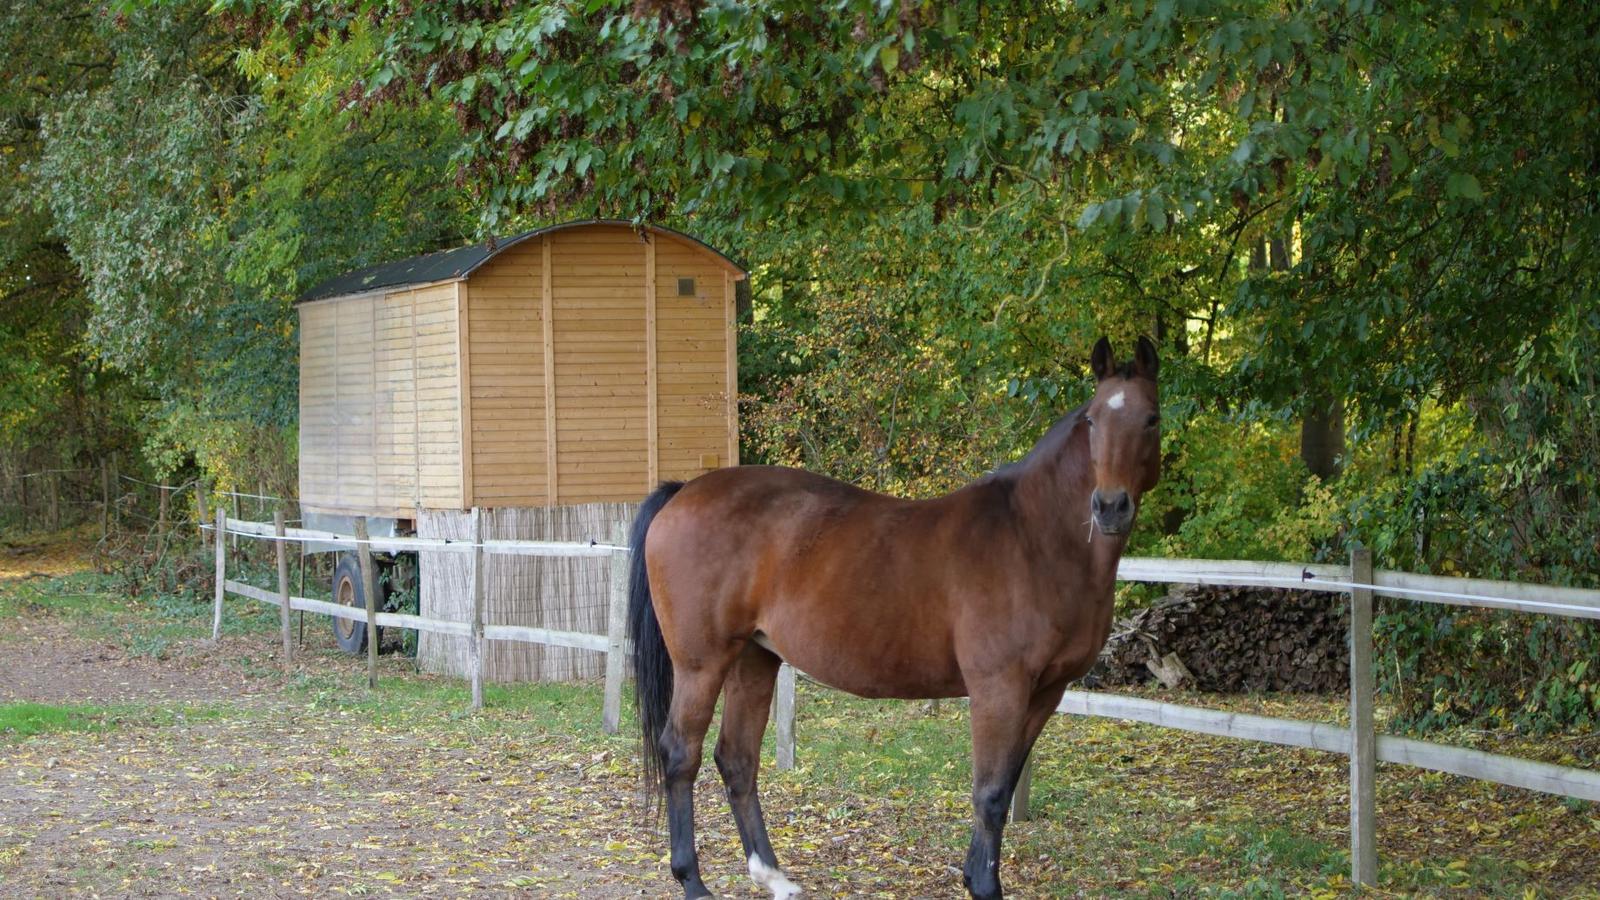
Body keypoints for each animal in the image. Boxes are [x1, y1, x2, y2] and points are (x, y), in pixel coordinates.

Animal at [626, 336, 1162, 899]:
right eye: (1093, 421)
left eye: (1151, 418)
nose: (1110, 507)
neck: (1032, 537)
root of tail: (684, 492)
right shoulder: (999, 689)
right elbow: (990, 793)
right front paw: (983, 885)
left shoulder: (1045, 693)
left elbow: (1003, 786)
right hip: (702, 664)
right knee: (680, 753)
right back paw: (693, 880)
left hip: (755, 659)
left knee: (737, 759)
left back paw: (774, 876)